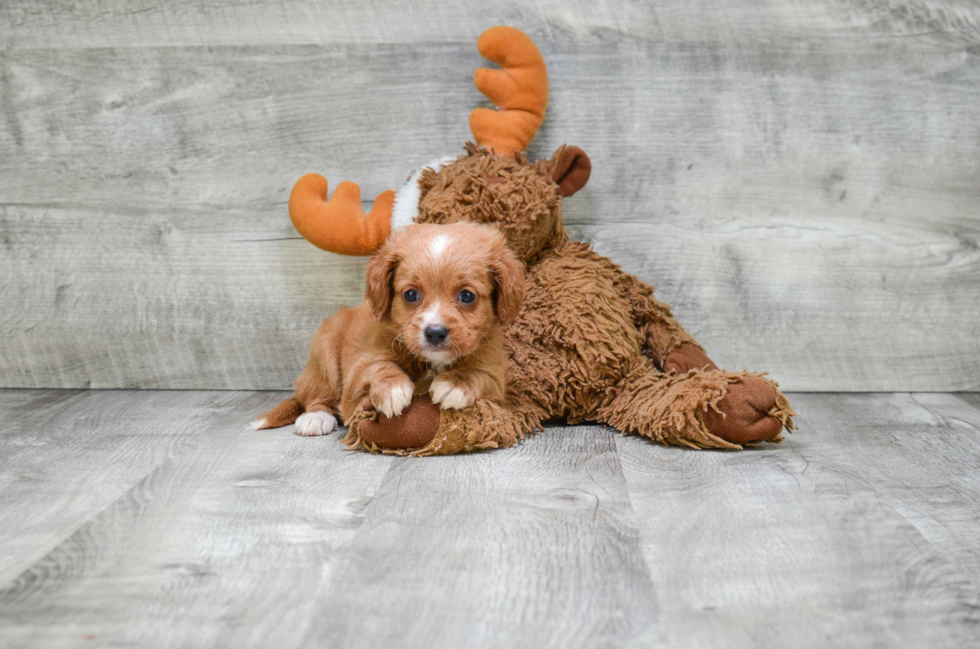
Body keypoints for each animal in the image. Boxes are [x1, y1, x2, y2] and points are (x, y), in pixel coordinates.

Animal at [256, 221, 524, 436]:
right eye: (411, 294)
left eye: (467, 296)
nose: (435, 332)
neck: (431, 362)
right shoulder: (358, 370)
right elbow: (378, 366)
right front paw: (392, 388)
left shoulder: (497, 378)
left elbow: (481, 375)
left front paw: (455, 383)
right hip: (325, 354)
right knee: (317, 395)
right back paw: (315, 417)